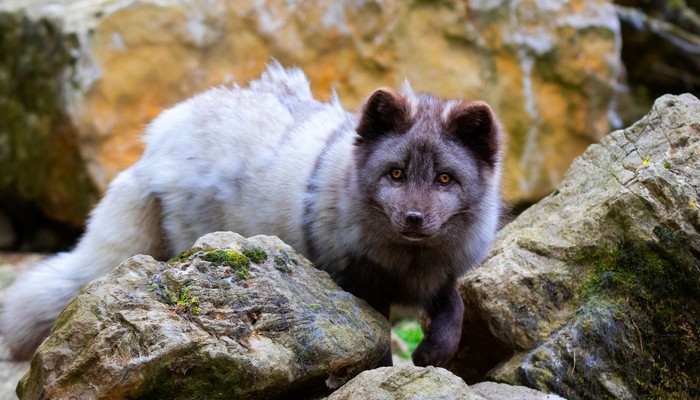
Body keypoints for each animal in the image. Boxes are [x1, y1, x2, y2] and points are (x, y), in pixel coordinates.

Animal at [0, 65, 504, 366]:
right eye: (396, 173)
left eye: (444, 179)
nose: (414, 218)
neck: (407, 263)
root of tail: (156, 143)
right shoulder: (359, 284)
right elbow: (378, 337)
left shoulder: (439, 277)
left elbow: (455, 309)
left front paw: (433, 353)